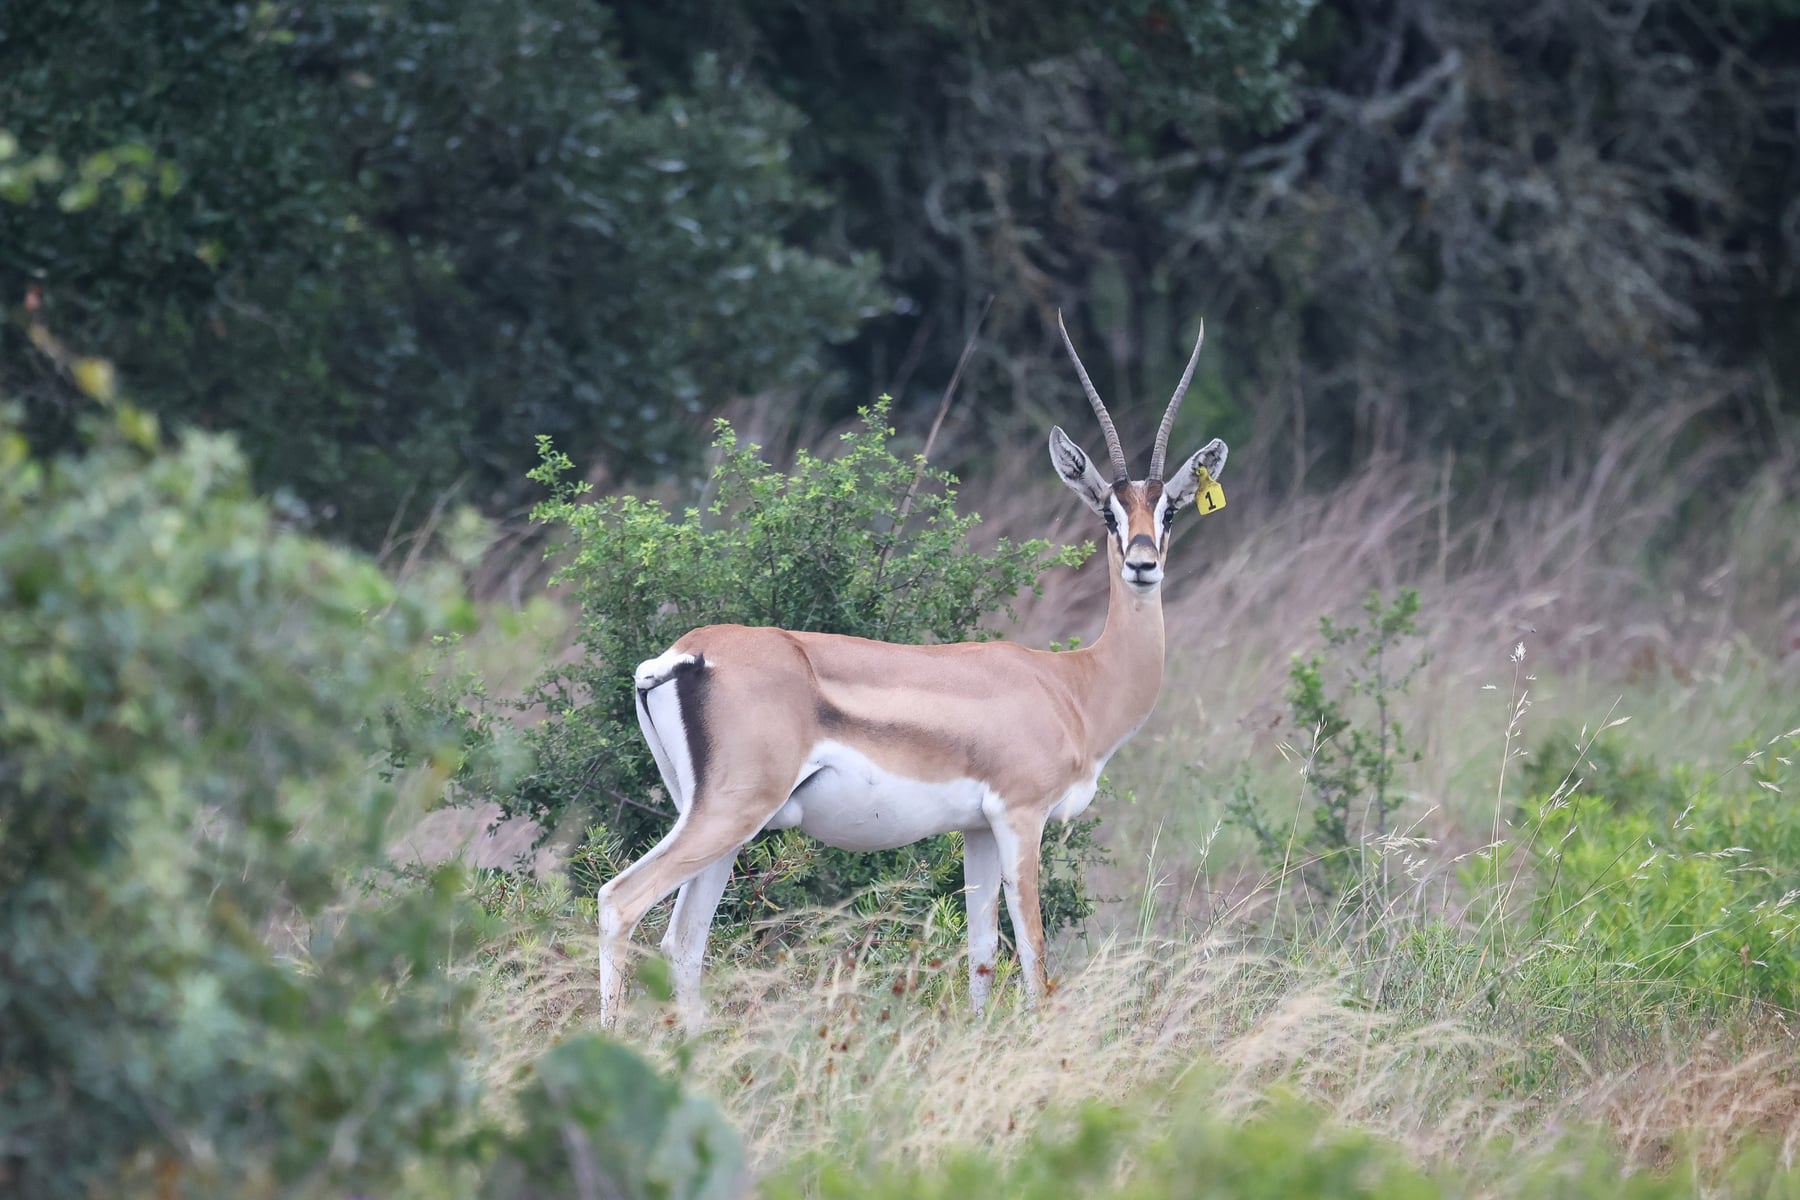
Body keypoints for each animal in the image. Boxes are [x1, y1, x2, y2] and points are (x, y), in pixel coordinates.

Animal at [600, 313, 1228, 1029]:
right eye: (1108, 511)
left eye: (1169, 510)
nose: (1143, 564)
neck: (1073, 685)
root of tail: (683, 654)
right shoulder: (1021, 817)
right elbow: (1034, 958)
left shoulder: (978, 831)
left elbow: (982, 953)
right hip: (729, 815)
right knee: (621, 902)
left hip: (717, 820)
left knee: (684, 940)